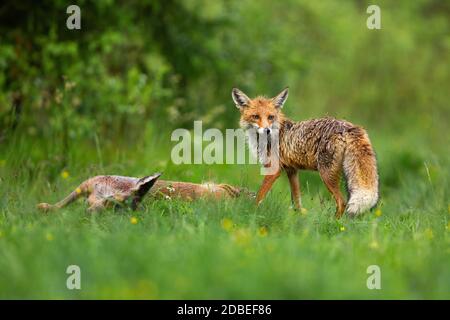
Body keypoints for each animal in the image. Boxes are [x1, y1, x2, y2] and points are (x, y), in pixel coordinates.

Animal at [232, 87, 380, 218]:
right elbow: (297, 202)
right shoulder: (292, 170)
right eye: (255, 116)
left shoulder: (274, 170)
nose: (267, 130)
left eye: (271, 117)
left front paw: (251, 213)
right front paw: (300, 219)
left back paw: (332, 223)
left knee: (342, 203)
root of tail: (349, 126)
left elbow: (259, 196)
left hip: (326, 175)